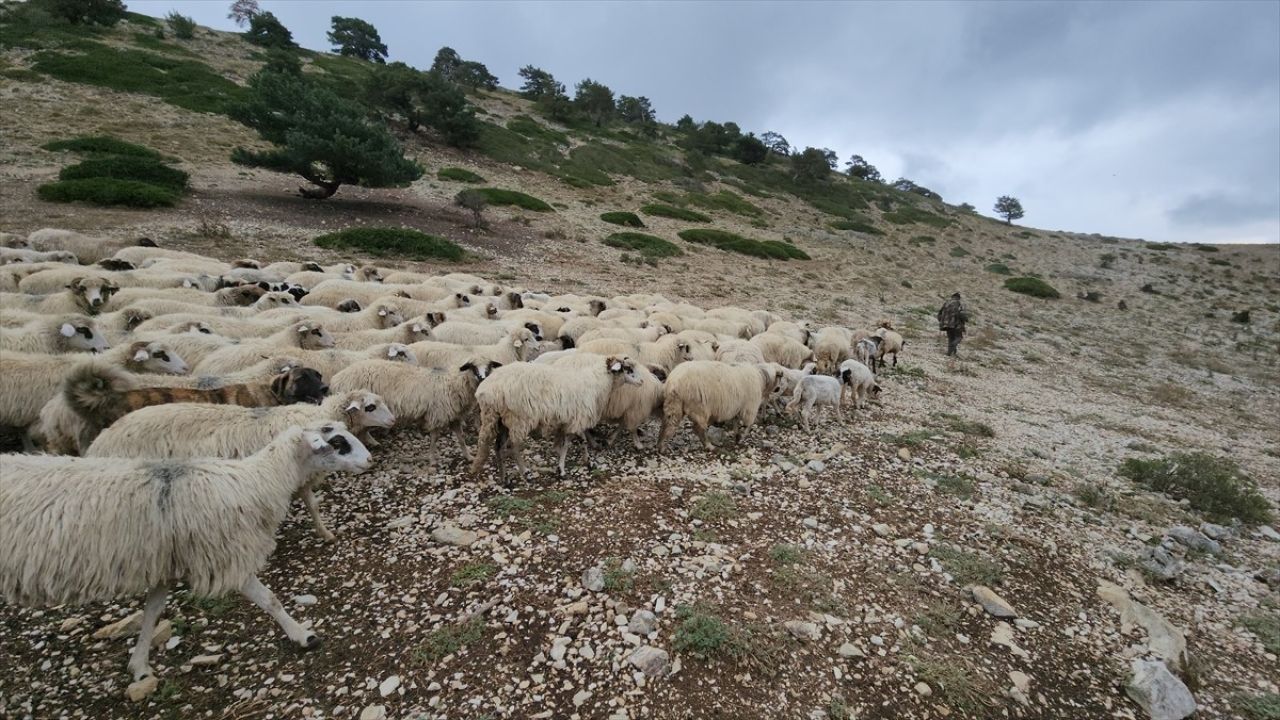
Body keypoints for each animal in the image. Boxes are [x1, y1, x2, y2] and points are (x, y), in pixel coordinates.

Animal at [0, 417, 371, 676]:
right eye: (337, 442)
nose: (368, 460)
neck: (257, 481)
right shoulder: (226, 555)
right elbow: (271, 599)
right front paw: (302, 635)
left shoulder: (165, 562)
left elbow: (152, 610)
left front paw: (139, 665)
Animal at [330, 356, 499, 461]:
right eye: (473, 368)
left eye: (490, 367)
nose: (483, 378)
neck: (453, 383)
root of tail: (336, 378)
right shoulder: (438, 414)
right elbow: (434, 437)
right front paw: (432, 458)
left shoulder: (454, 416)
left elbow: (461, 438)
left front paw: (469, 456)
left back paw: (372, 442)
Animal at [468, 351, 640, 479]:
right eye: (627, 369)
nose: (641, 382)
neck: (598, 382)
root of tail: (486, 391)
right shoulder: (578, 418)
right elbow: (573, 442)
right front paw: (564, 468)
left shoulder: (569, 420)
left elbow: (575, 441)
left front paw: (580, 461)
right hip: (518, 419)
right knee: (513, 446)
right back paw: (525, 473)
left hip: (501, 420)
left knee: (498, 447)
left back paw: (504, 478)